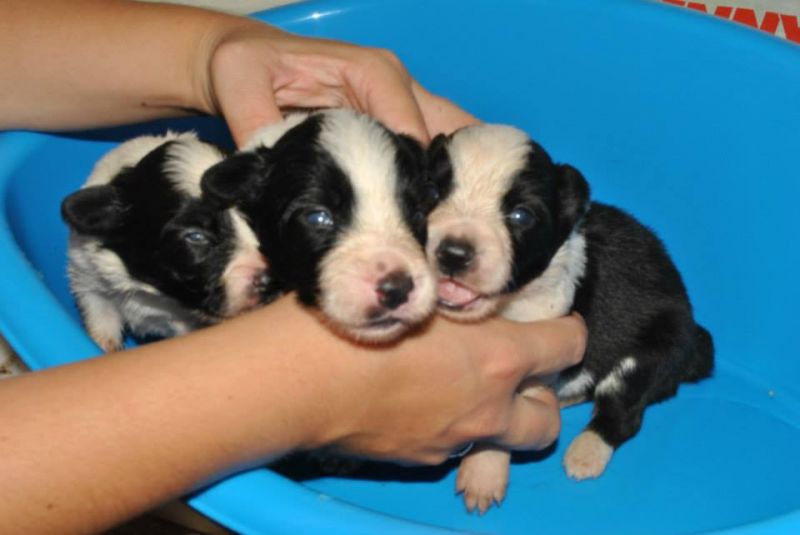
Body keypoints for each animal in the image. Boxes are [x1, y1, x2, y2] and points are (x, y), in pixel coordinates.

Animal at [428, 123, 716, 512]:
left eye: (521, 216)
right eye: (432, 191)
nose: (454, 253)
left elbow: (500, 425)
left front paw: (482, 473)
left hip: (652, 352)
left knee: (622, 413)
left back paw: (585, 454)